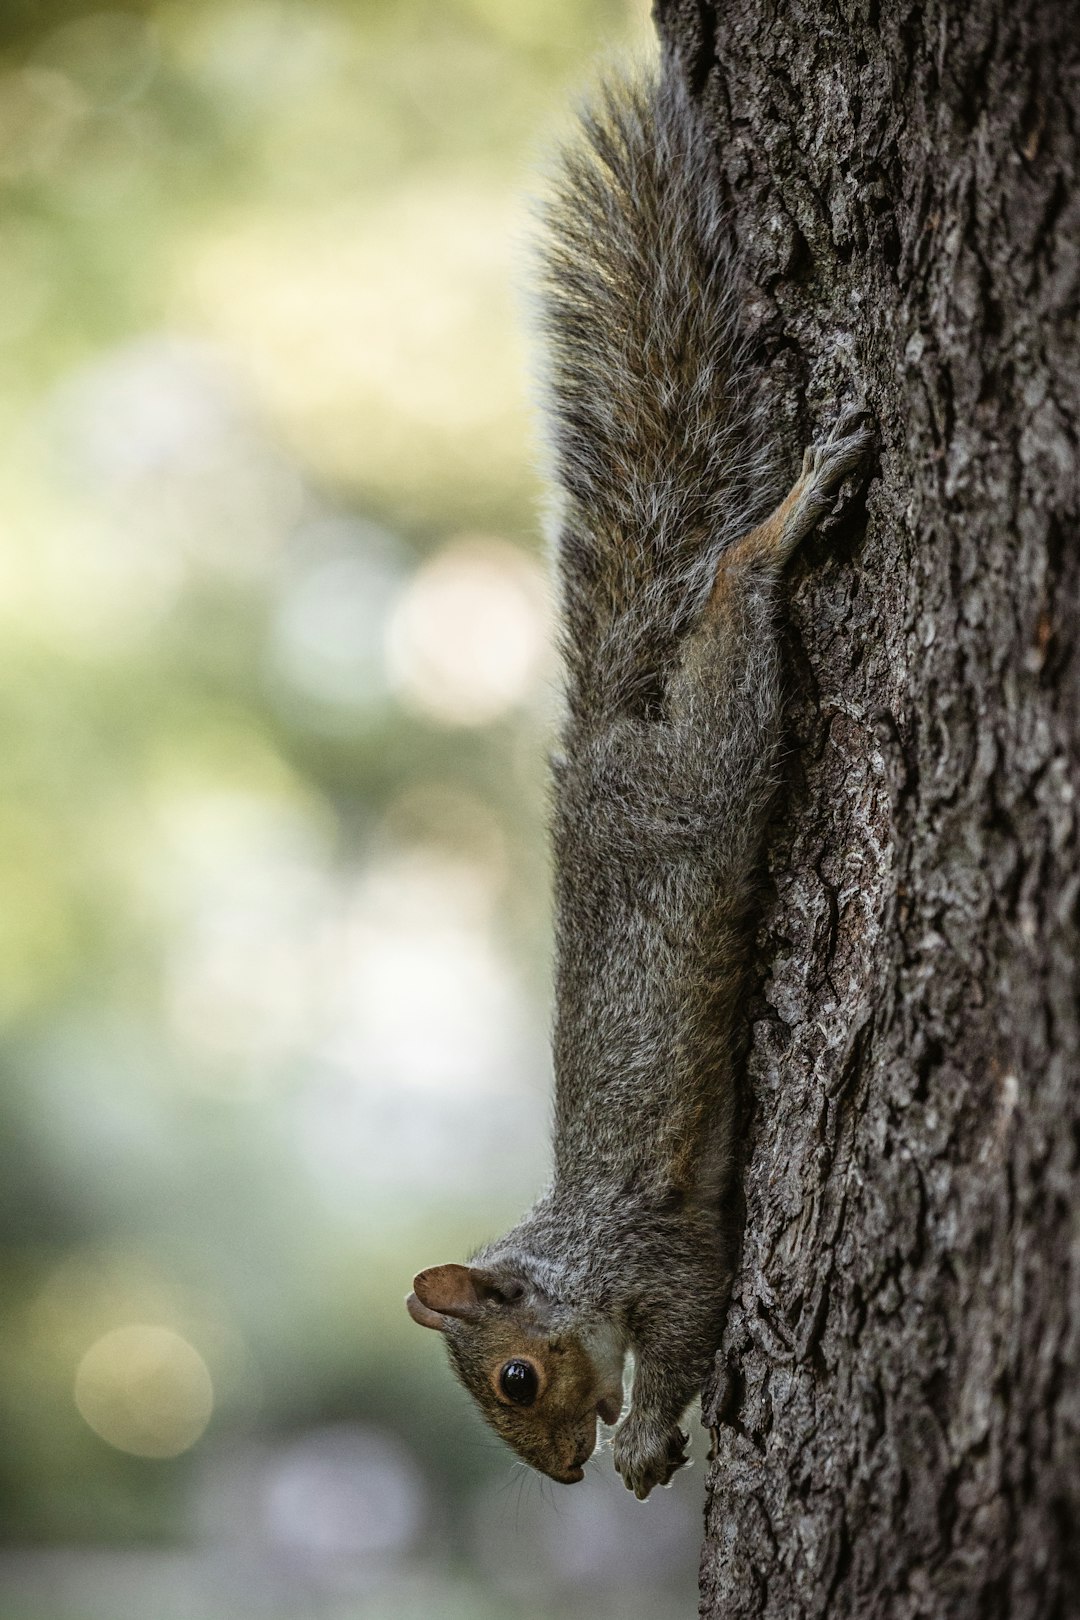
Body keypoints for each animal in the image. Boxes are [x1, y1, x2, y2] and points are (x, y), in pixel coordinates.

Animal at [401, 50, 874, 1496]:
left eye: (514, 1375)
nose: (557, 1474)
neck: (580, 1253)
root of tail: (599, 747)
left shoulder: (667, 1263)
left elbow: (685, 1339)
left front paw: (651, 1440)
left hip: (708, 766)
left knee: (732, 606)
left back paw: (782, 525)